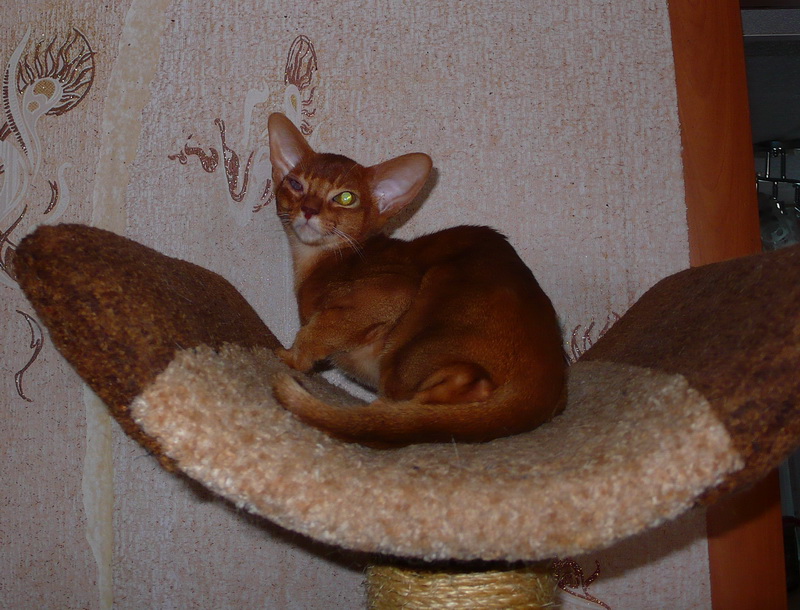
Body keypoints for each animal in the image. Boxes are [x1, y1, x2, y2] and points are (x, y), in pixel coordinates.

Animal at [268, 112, 566, 445]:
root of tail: (549, 380)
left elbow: (318, 330)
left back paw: (393, 412)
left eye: (345, 197)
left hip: (425, 311)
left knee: (469, 385)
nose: (308, 210)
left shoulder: (395, 288)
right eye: (295, 184)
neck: (319, 260)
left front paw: (291, 357)